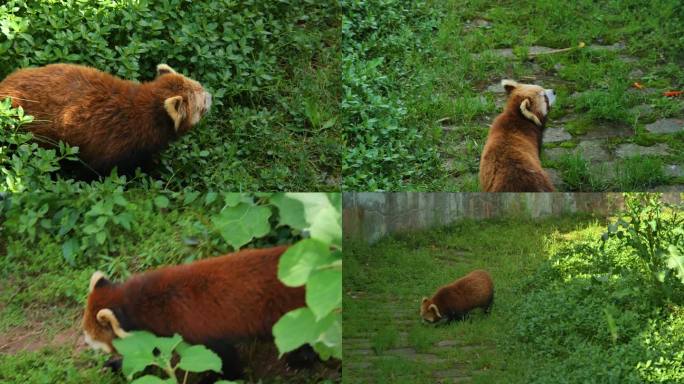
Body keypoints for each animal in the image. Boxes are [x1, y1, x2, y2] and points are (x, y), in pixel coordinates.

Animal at [81, 246, 304, 380]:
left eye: (96, 343)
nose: (90, 347)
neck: (137, 304)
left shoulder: (199, 329)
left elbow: (224, 358)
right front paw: (117, 365)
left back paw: (298, 361)